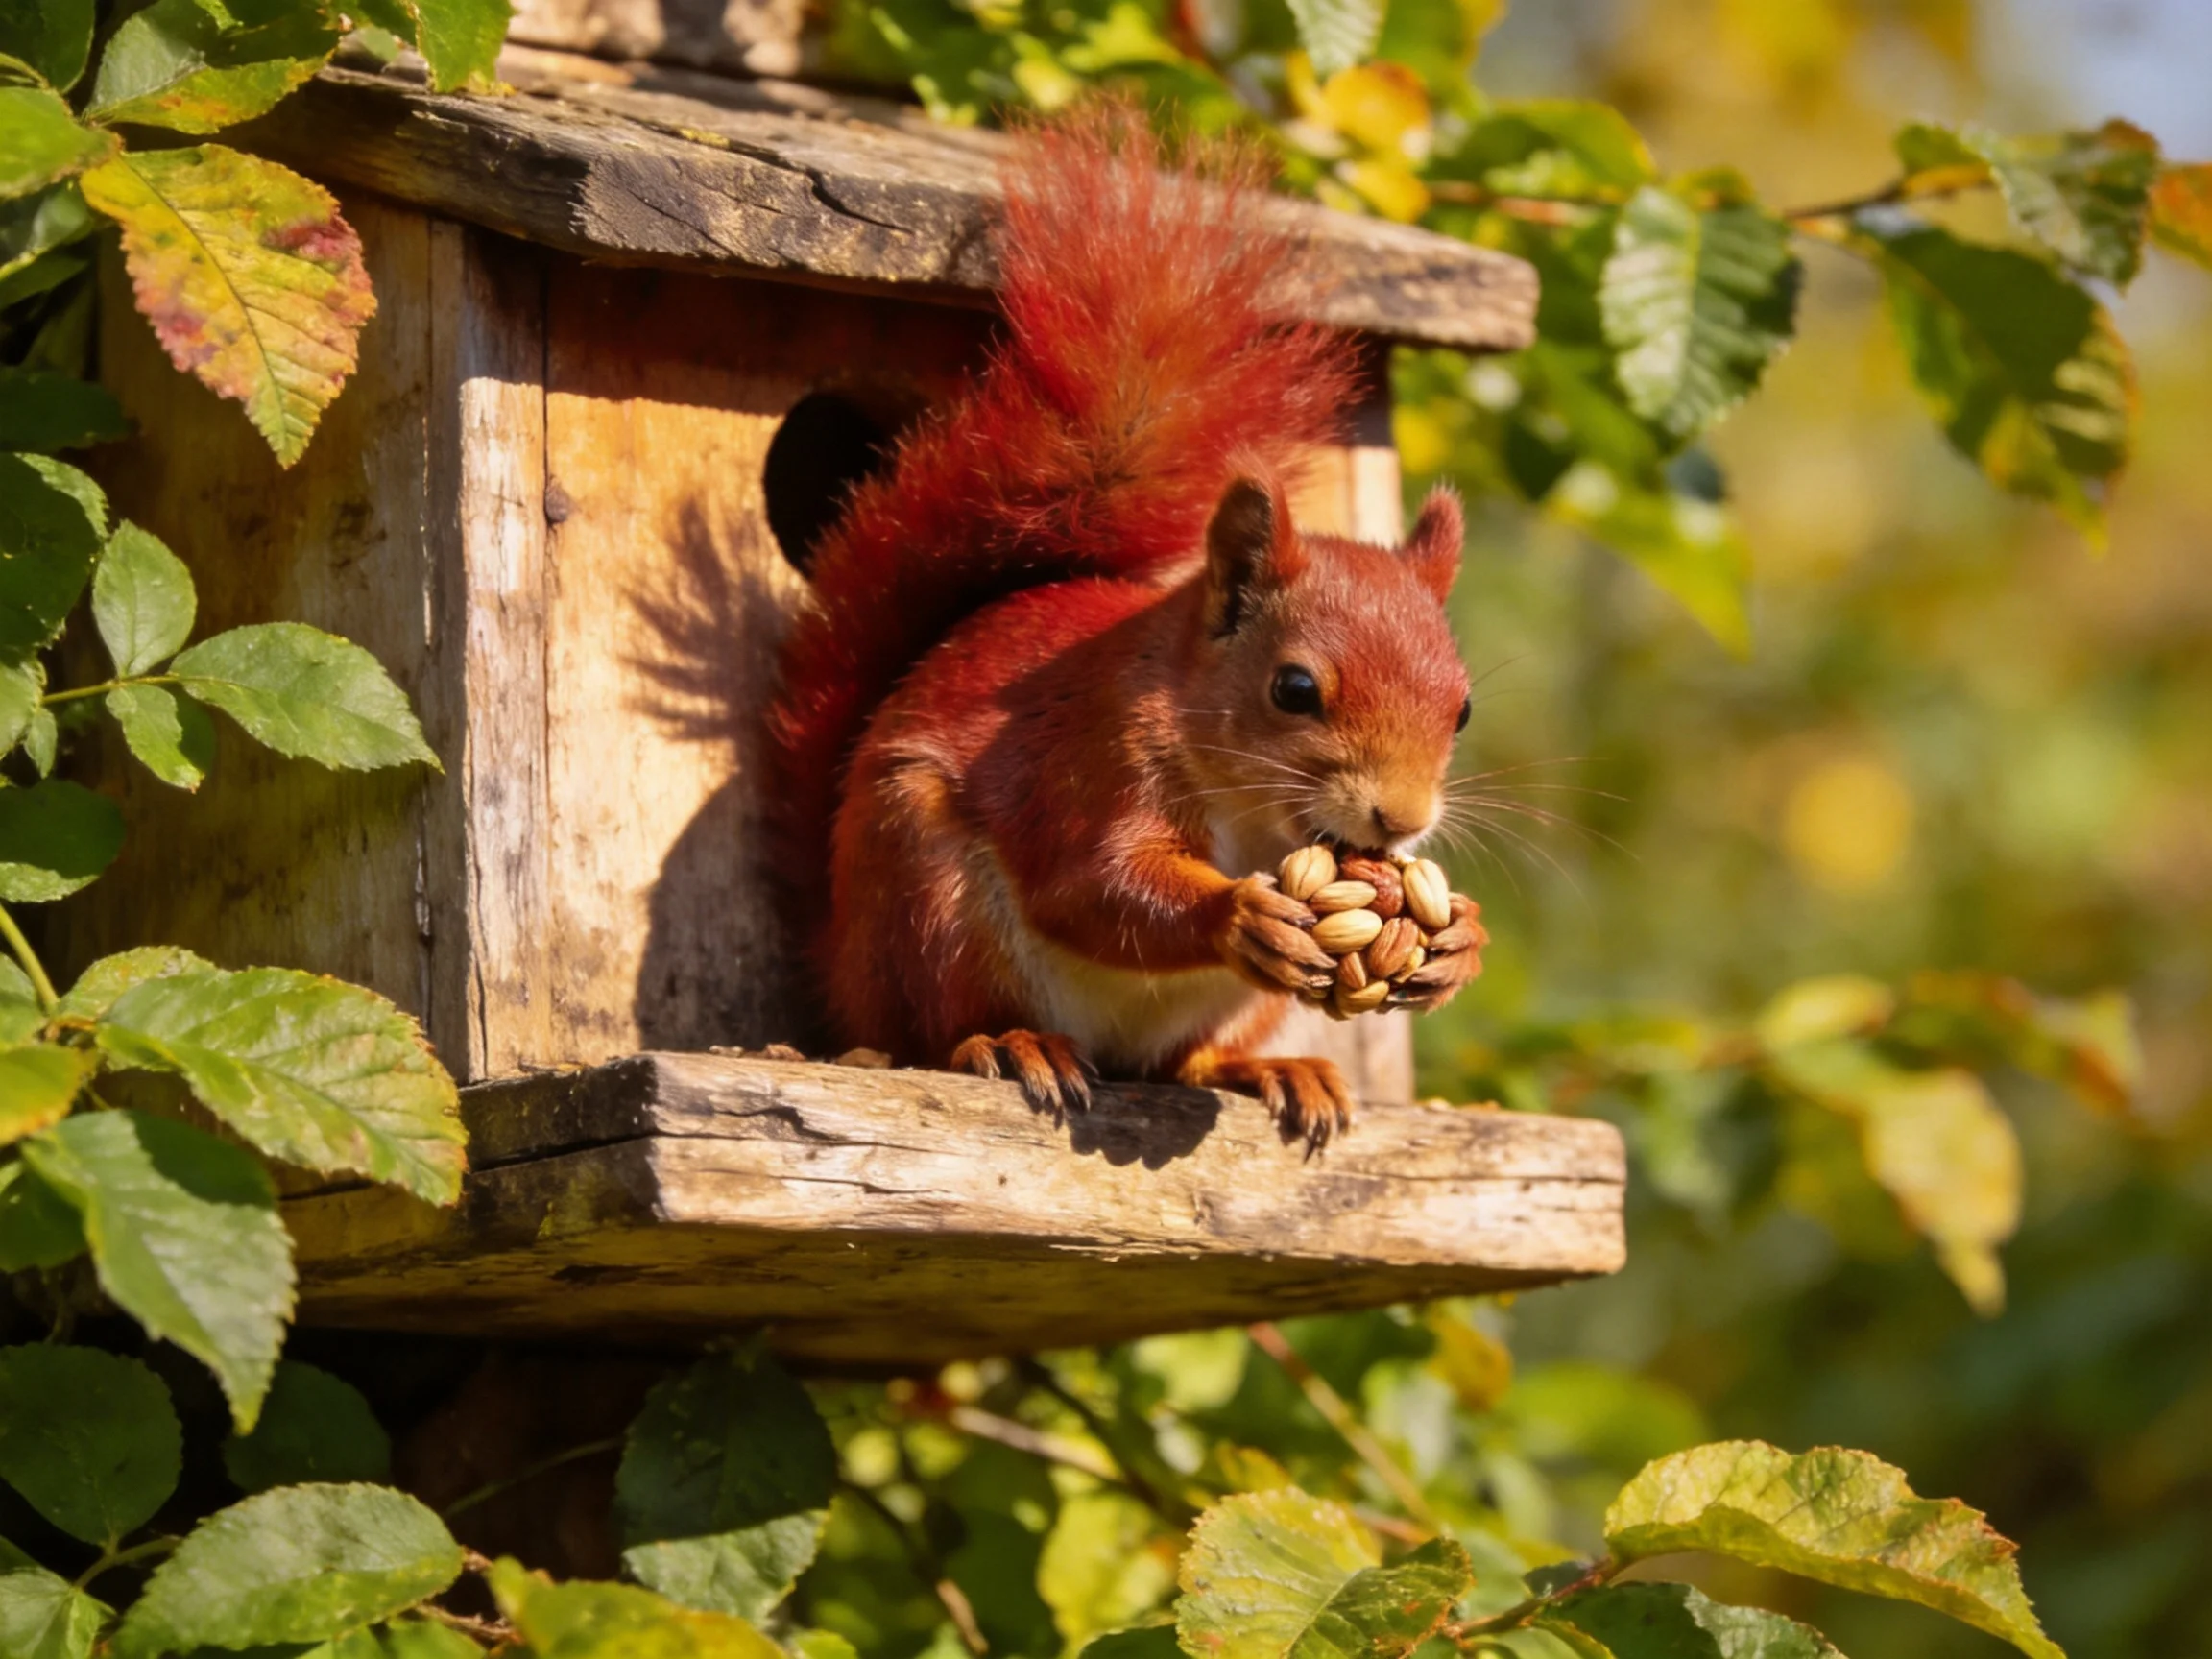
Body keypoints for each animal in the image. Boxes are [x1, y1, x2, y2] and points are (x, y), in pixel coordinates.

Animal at [766, 107, 1486, 1146]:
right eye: (1294, 689)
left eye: (1463, 709)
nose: (1403, 820)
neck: (1253, 810)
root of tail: (841, 967)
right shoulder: (1094, 756)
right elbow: (1092, 883)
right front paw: (1239, 918)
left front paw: (1459, 939)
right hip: (927, 899)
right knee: (937, 1030)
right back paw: (1008, 1044)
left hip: (1225, 1008)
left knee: (1182, 1062)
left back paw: (1269, 1068)